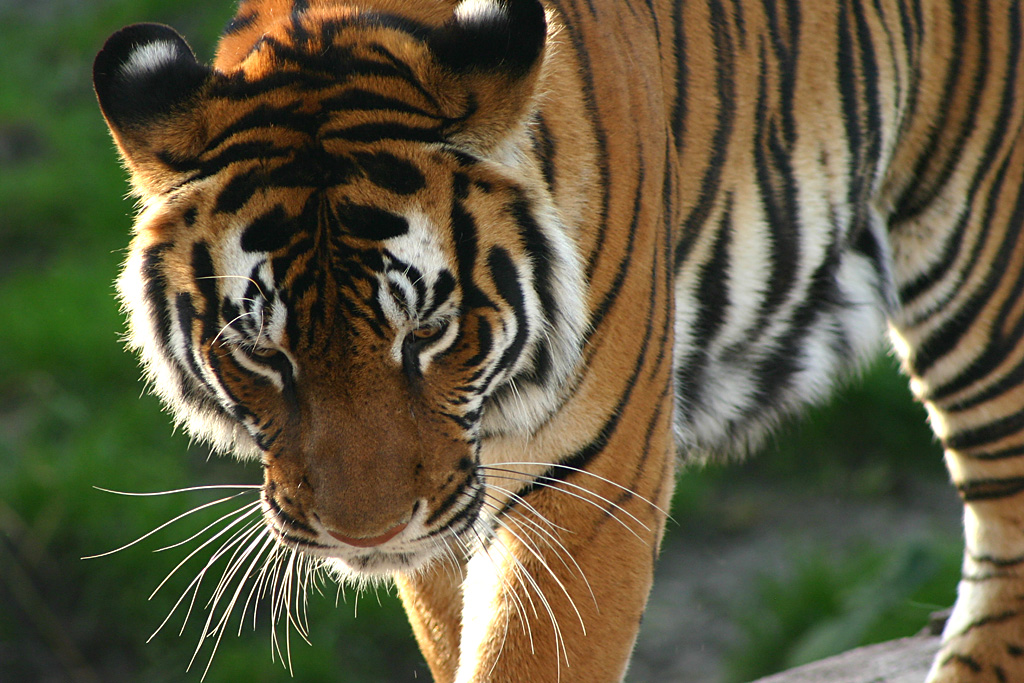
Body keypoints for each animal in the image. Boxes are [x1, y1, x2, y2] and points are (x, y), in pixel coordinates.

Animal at [93, 0, 1024, 680]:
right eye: (263, 351)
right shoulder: (445, 512)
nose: (367, 534)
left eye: (426, 332)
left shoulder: (586, 485)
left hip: (979, 264)